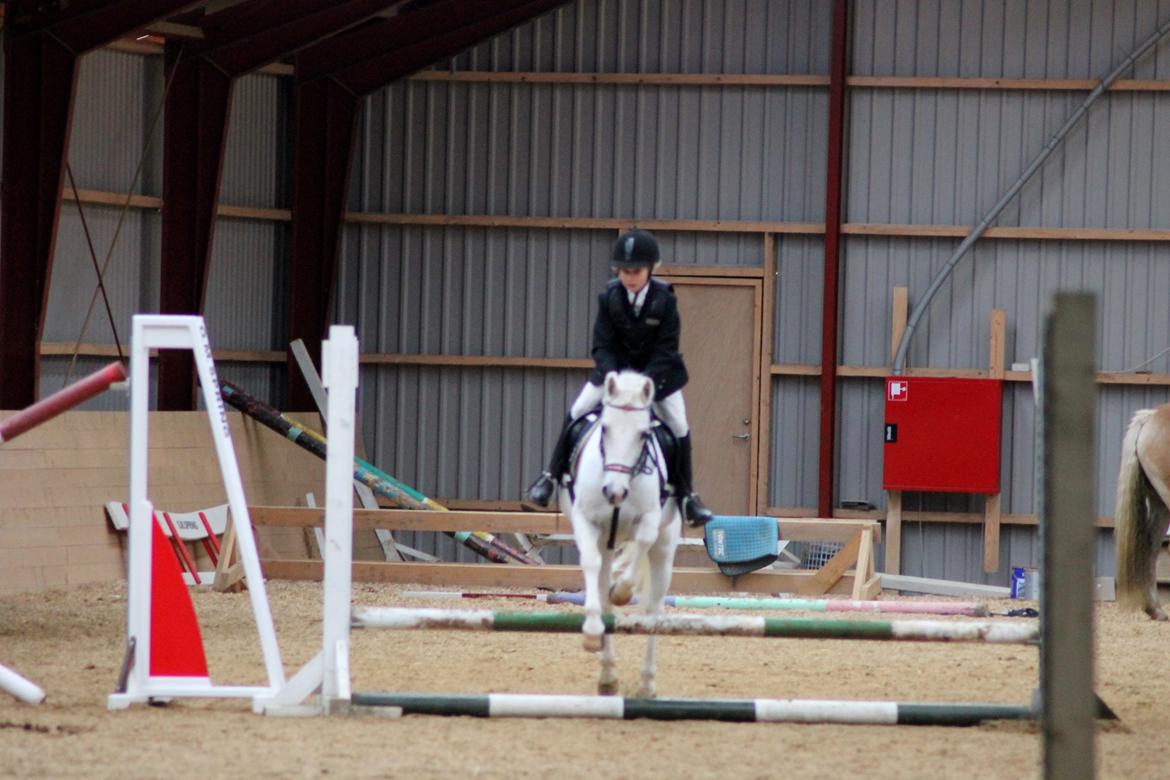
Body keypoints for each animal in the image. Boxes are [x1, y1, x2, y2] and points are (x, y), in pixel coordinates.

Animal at [560, 370, 681, 697]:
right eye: (605, 429)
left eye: (642, 435)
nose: (614, 492)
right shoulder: (586, 522)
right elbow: (590, 565)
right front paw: (591, 632)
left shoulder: (650, 520)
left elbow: (642, 541)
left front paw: (624, 590)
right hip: (607, 543)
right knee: (605, 597)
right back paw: (608, 677)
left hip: (665, 548)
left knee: (654, 609)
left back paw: (647, 683)